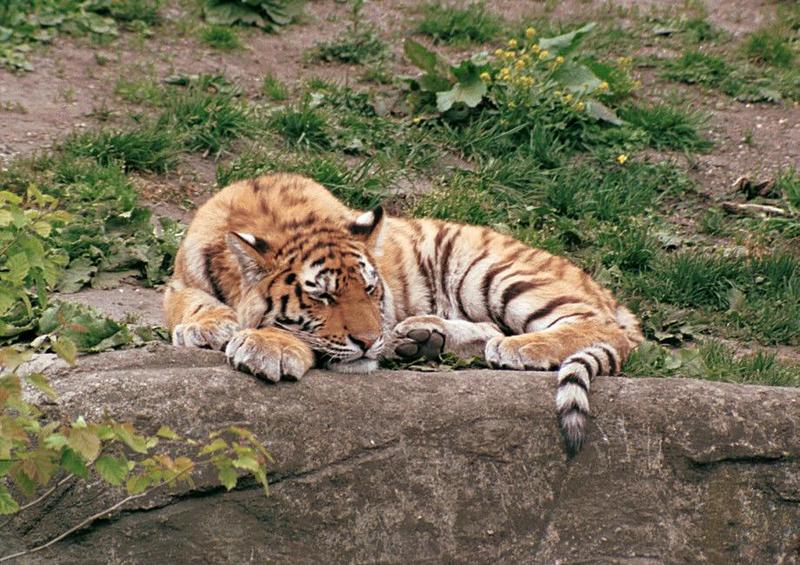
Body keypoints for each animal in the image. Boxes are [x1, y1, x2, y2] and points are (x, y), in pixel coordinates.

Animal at [164, 173, 644, 454]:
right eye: (322, 296)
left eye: (370, 289)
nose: (369, 341)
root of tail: (611, 295)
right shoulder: (179, 281)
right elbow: (191, 303)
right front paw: (211, 326)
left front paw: (268, 348)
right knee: (489, 328)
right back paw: (419, 338)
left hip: (491, 271)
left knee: (599, 328)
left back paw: (515, 347)